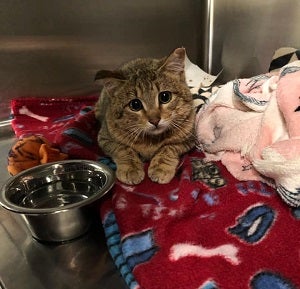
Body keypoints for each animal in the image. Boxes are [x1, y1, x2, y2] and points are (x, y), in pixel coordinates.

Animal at [95, 46, 196, 183]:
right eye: (135, 104)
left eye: (165, 97)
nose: (155, 120)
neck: (152, 140)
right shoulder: (105, 138)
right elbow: (123, 149)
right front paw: (131, 168)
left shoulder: (189, 138)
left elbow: (168, 148)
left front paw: (160, 167)